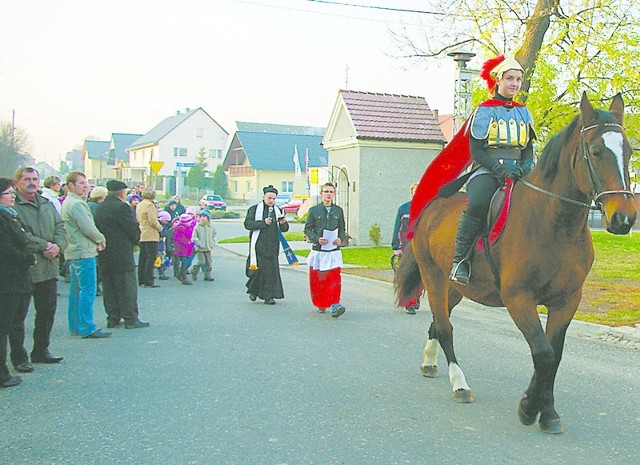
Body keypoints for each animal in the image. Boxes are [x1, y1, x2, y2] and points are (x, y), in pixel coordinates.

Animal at [398, 92, 636, 434]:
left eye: (628, 151)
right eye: (595, 151)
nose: (624, 218)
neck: (554, 224)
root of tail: (430, 206)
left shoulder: (566, 301)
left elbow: (554, 355)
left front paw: (544, 410)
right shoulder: (519, 299)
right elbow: (543, 353)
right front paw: (531, 408)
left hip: (454, 288)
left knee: (437, 324)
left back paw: (430, 362)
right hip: (434, 278)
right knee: (445, 328)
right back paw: (460, 384)